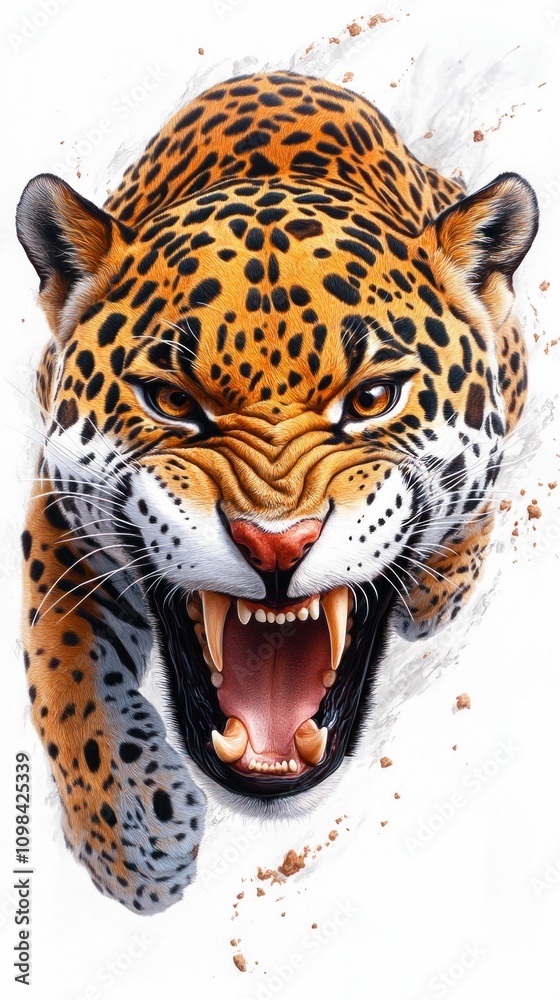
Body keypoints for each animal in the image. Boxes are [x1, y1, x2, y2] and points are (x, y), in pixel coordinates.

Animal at [16, 71, 538, 914]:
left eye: (372, 399)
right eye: (171, 400)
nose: (275, 544)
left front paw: (442, 584)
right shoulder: (58, 507)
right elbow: (57, 658)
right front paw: (131, 828)